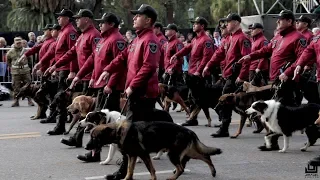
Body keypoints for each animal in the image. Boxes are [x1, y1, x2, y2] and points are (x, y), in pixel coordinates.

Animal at [85, 121, 222, 180]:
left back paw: (172, 178)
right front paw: (127, 179)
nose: (86, 147)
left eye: (94, 137)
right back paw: (213, 171)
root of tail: (189, 131)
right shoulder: (133, 155)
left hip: (173, 154)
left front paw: (153, 179)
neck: (117, 132)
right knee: (206, 156)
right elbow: (130, 169)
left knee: (181, 168)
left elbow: (151, 169)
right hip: (187, 152)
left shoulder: (143, 154)